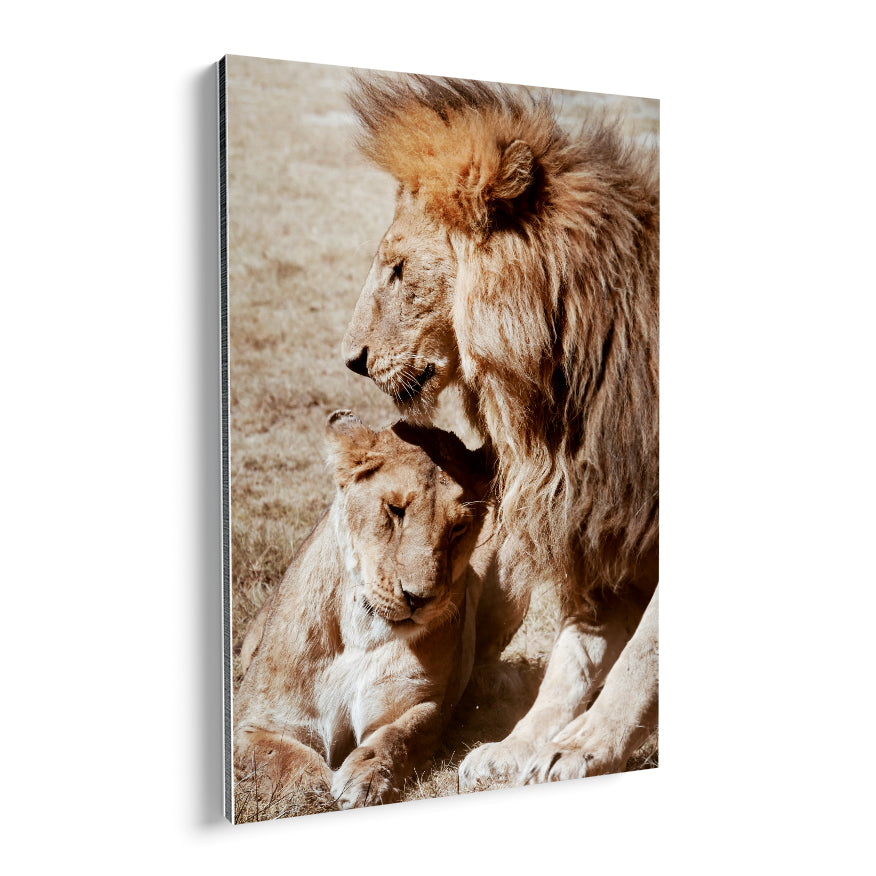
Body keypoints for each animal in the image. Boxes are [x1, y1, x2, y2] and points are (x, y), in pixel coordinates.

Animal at [233, 410, 524, 811]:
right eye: (395, 510)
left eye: (458, 528)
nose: (419, 598)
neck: (360, 631)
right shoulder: (255, 722)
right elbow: (278, 755)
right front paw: (313, 784)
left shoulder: (421, 704)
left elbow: (396, 738)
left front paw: (366, 781)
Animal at [342, 75, 659, 786]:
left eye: (399, 269)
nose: (351, 360)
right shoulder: (602, 515)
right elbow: (574, 659)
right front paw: (520, 747)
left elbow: (644, 653)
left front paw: (583, 748)